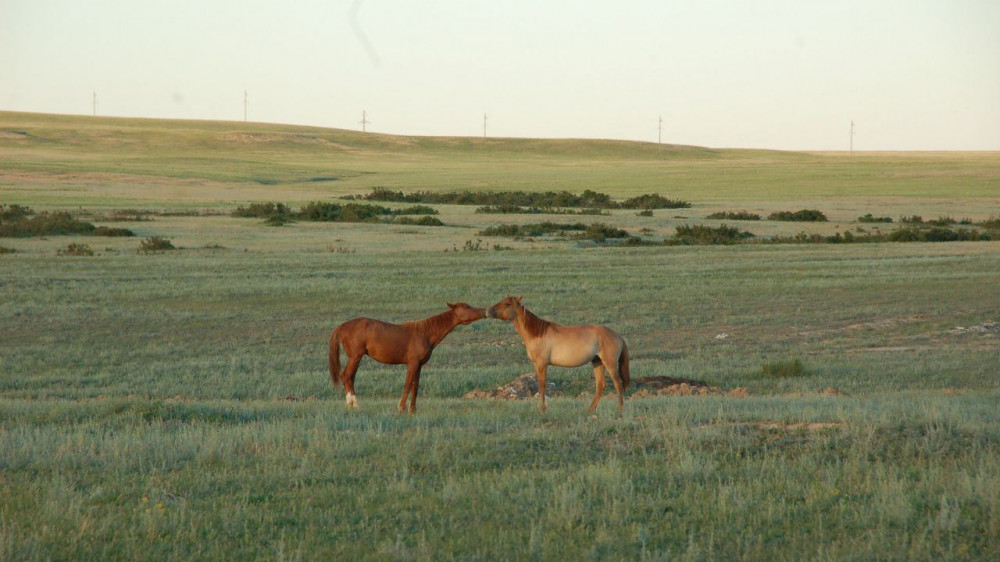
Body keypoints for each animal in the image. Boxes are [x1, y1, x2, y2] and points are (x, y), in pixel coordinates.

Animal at [328, 302, 484, 412]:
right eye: (466, 307)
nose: (484, 311)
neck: (424, 333)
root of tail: (342, 326)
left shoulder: (419, 365)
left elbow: (415, 386)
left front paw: (412, 410)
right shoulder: (412, 363)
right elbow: (408, 384)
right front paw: (401, 407)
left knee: (349, 377)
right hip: (355, 357)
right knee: (347, 376)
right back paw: (354, 404)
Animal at [486, 298, 628, 412]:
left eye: (507, 303)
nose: (488, 310)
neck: (538, 333)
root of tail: (618, 336)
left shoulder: (541, 364)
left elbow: (542, 386)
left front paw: (542, 410)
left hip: (610, 364)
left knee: (618, 384)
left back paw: (619, 410)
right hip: (597, 362)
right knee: (600, 386)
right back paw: (590, 411)